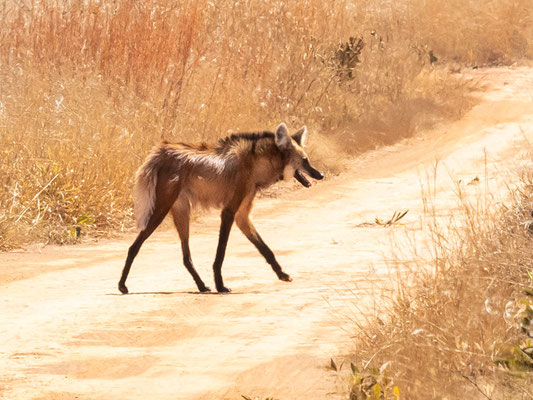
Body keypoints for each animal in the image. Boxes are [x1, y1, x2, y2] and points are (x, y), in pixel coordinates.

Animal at [118, 123, 322, 296]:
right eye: (305, 160)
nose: (320, 174)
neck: (256, 165)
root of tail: (163, 150)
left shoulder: (242, 216)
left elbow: (266, 249)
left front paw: (282, 274)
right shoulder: (229, 211)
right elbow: (221, 253)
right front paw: (221, 285)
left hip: (182, 211)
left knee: (186, 257)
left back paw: (201, 286)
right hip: (161, 209)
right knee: (134, 247)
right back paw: (122, 285)